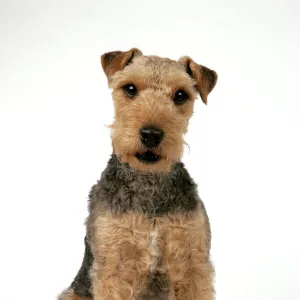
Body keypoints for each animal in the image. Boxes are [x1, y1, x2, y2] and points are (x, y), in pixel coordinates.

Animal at [58, 48, 218, 300]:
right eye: (130, 88)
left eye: (180, 95)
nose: (151, 134)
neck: (149, 184)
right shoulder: (113, 267)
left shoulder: (193, 262)